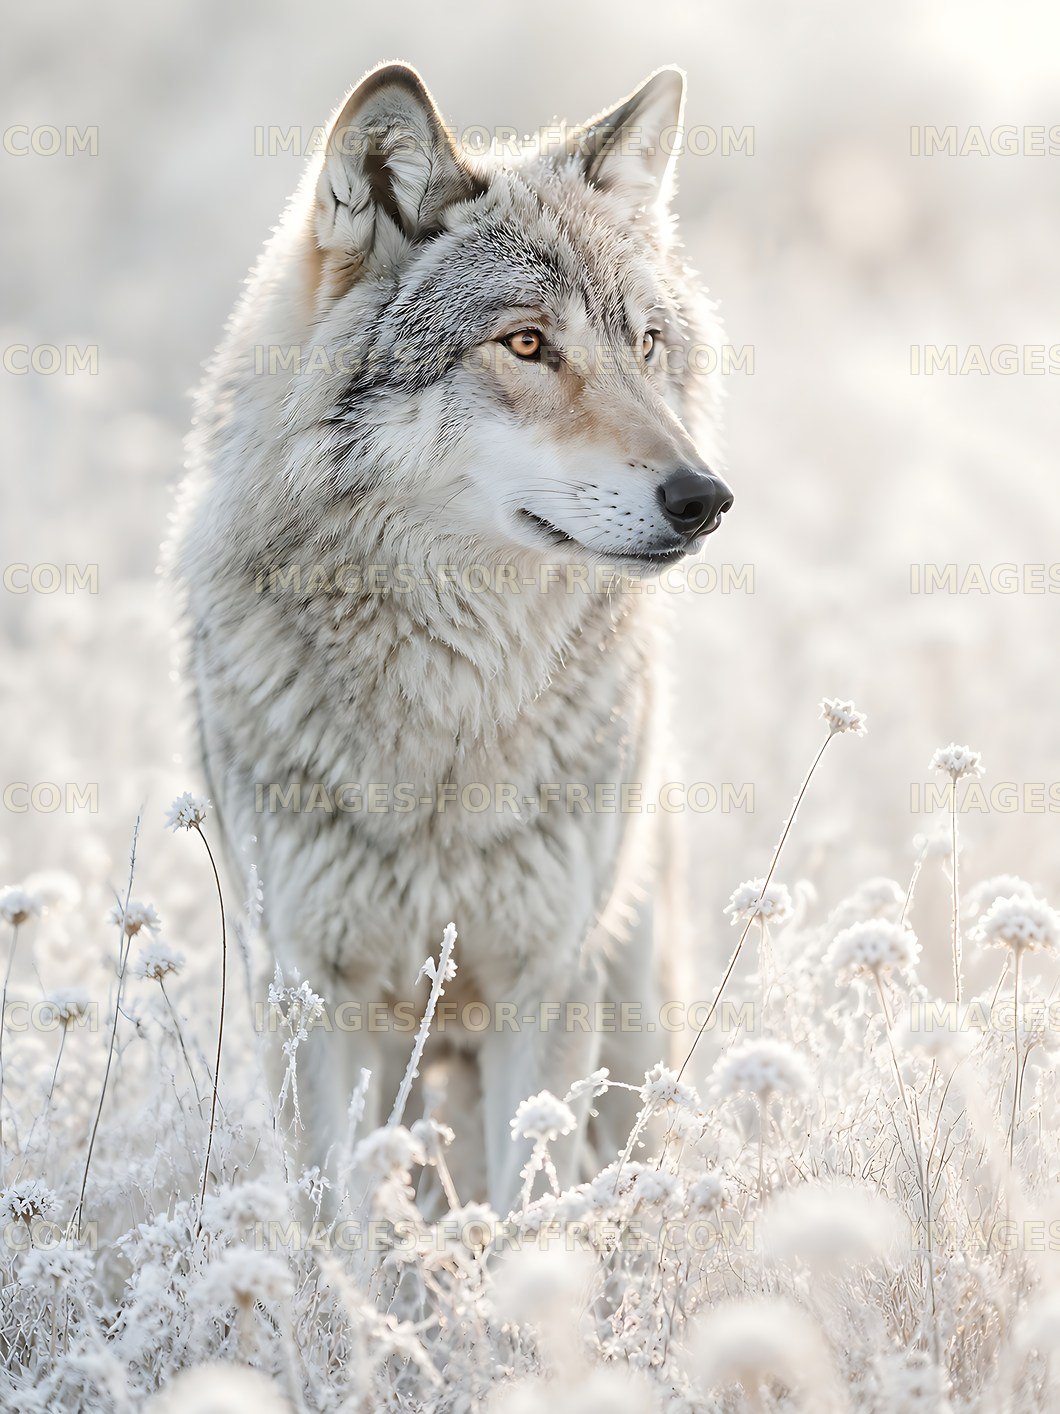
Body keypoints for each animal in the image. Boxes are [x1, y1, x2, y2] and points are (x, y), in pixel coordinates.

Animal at [172, 61, 732, 1215]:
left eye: (647, 344)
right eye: (525, 343)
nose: (704, 499)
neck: (451, 709)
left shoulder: (543, 989)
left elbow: (530, 1219)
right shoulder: (311, 1000)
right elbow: (337, 1230)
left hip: (626, 1016)